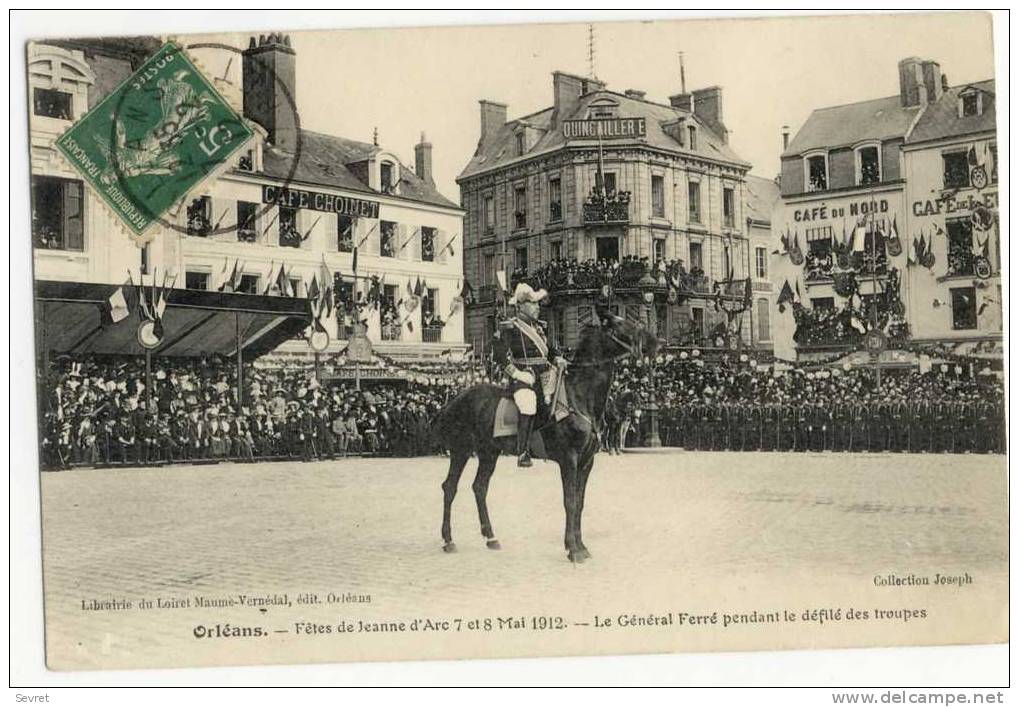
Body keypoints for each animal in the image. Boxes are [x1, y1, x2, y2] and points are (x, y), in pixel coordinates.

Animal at [432, 313, 656, 562]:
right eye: (619, 324)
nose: (654, 342)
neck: (580, 398)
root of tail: (457, 399)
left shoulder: (587, 461)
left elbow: (580, 502)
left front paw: (581, 546)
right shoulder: (569, 460)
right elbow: (569, 502)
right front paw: (572, 549)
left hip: (489, 452)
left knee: (480, 487)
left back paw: (491, 537)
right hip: (461, 450)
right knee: (450, 487)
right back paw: (448, 540)